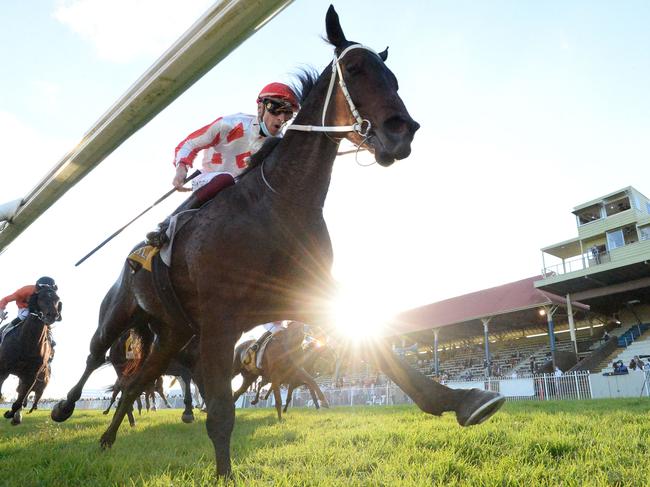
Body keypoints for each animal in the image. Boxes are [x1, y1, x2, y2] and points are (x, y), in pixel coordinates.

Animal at [0, 288, 60, 426]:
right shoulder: (3, 370)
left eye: (57, 299)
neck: (27, 343)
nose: (52, 315)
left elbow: (19, 401)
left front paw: (12, 415)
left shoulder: (31, 376)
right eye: (41, 297)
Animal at [54, 7, 502, 478]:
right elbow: (221, 411)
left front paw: (462, 400)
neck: (279, 203)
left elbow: (380, 349)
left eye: (393, 78)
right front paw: (224, 475)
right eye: (356, 70)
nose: (402, 131)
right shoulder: (220, 318)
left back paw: (106, 440)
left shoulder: (307, 297)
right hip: (120, 314)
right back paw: (64, 408)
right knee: (96, 357)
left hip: (173, 332)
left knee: (138, 380)